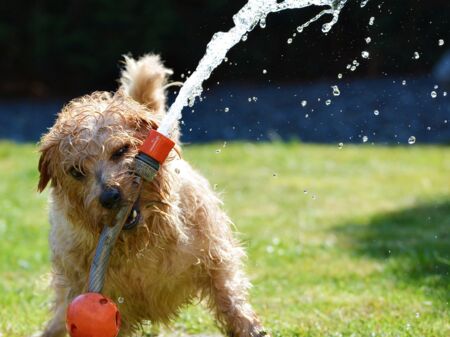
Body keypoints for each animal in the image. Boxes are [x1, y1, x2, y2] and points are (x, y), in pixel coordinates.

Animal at [37, 54, 268, 336]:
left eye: (121, 150)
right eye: (76, 171)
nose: (110, 196)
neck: (141, 241)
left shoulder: (215, 256)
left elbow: (229, 296)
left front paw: (249, 327)